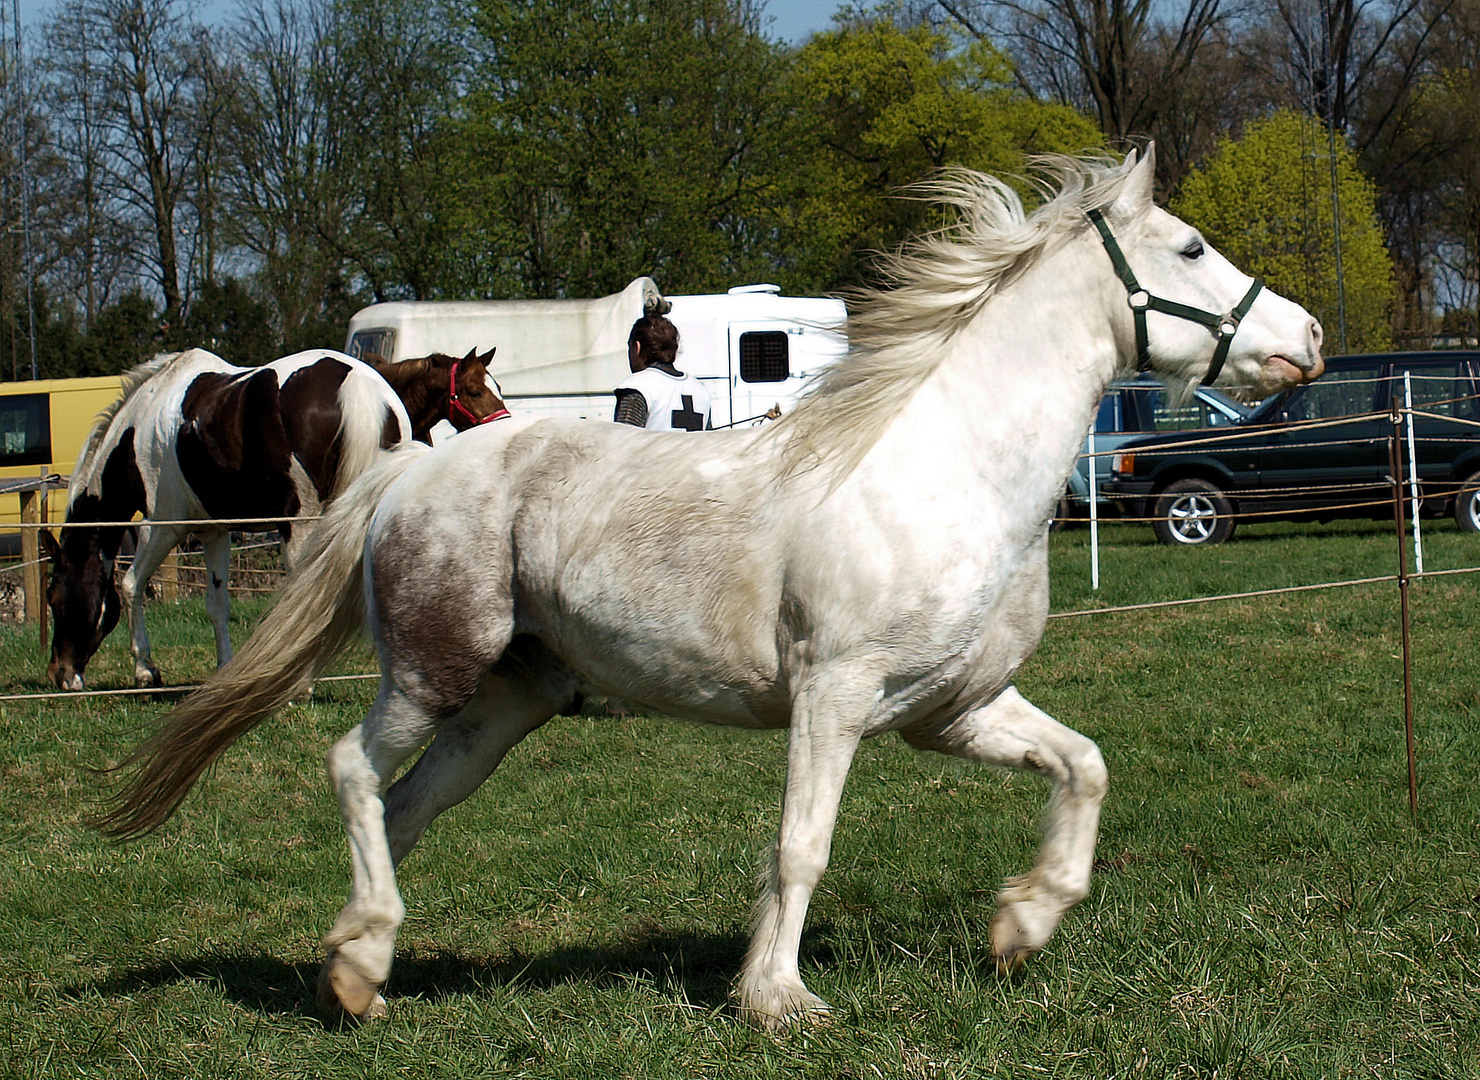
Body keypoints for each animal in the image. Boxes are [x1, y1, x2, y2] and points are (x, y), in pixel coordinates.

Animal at [41, 347, 411, 689]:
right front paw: (222, 669)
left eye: (54, 599)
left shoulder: (162, 526)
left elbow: (131, 584)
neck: (137, 433)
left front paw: (145, 670)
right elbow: (217, 605)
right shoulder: (214, 532)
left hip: (301, 527)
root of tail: (358, 385)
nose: (59, 674)